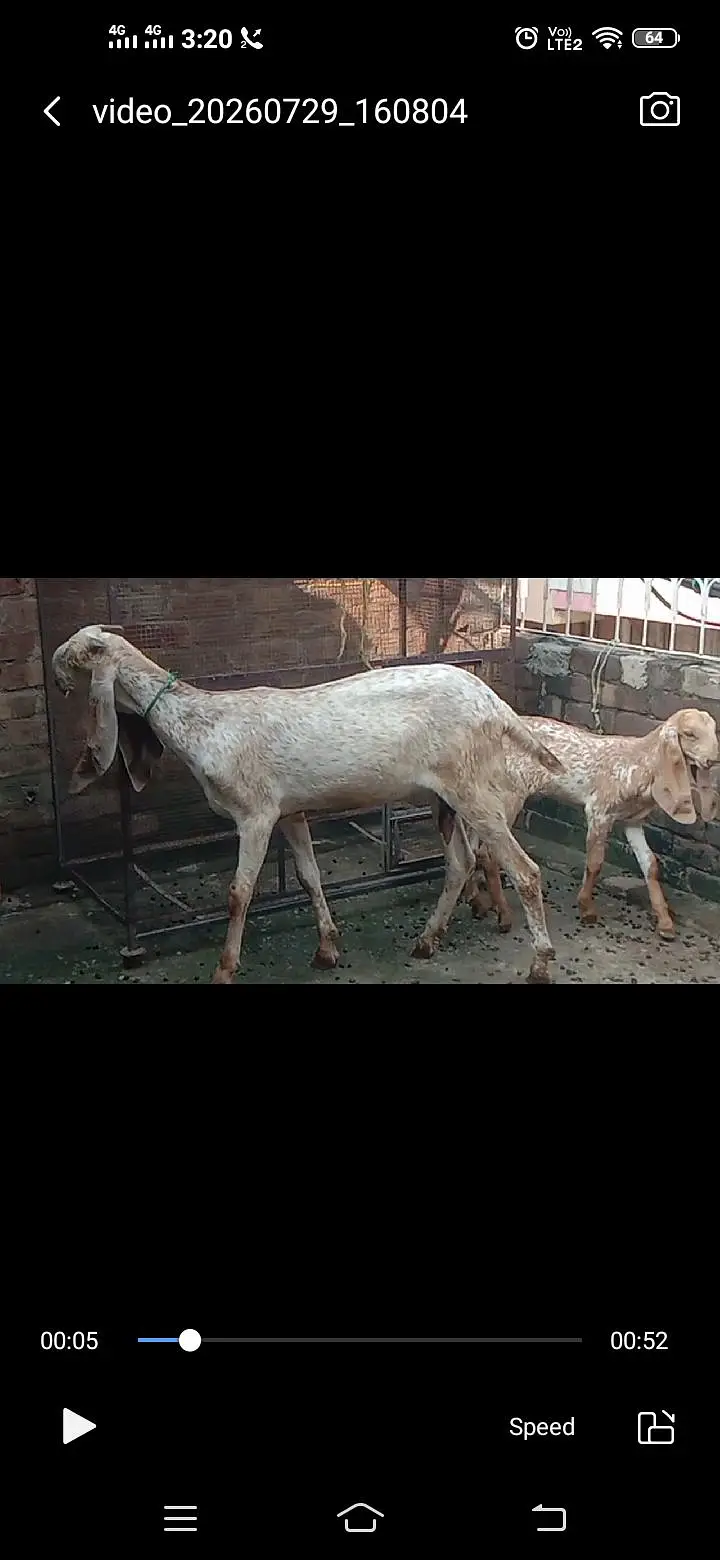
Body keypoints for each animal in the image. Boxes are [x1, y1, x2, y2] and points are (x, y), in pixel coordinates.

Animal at [51, 626, 569, 984]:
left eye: (78, 651)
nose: (55, 674)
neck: (204, 724)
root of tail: (496, 704)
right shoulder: (290, 812)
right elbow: (308, 876)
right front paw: (327, 950)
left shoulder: (255, 812)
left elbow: (240, 893)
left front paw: (224, 969)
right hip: (445, 796)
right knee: (460, 862)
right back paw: (426, 941)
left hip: (472, 787)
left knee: (524, 870)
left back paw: (540, 964)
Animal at [410, 710, 719, 957]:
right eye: (689, 734)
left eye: (714, 731)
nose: (712, 760)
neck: (639, 763)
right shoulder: (599, 810)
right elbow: (595, 861)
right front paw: (587, 909)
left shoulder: (632, 821)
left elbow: (650, 865)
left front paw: (665, 924)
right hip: (506, 795)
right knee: (488, 852)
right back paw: (504, 917)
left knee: (475, 848)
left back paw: (478, 902)